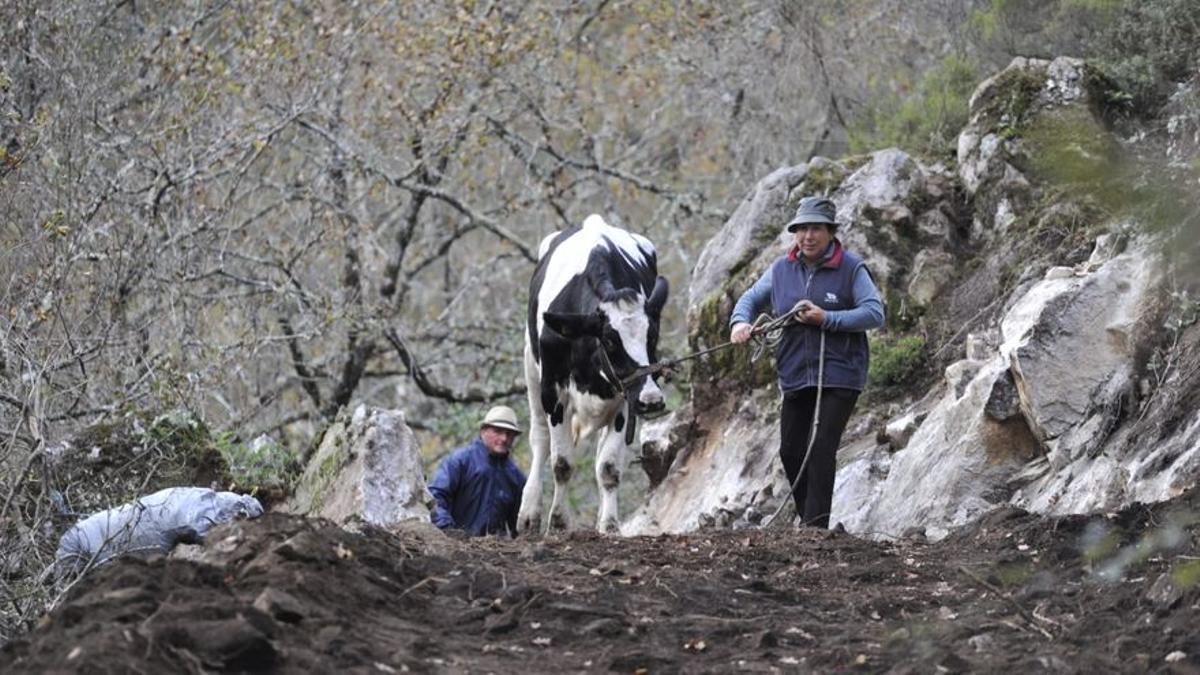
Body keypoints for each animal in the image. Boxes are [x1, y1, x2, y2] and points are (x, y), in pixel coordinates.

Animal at [520, 213, 672, 530]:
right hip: (530, 365)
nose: (651, 400)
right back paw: (529, 512)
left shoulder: (626, 394)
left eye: (652, 336)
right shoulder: (554, 391)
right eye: (610, 341)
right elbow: (562, 463)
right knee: (539, 437)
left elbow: (609, 467)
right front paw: (559, 522)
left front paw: (609, 525)